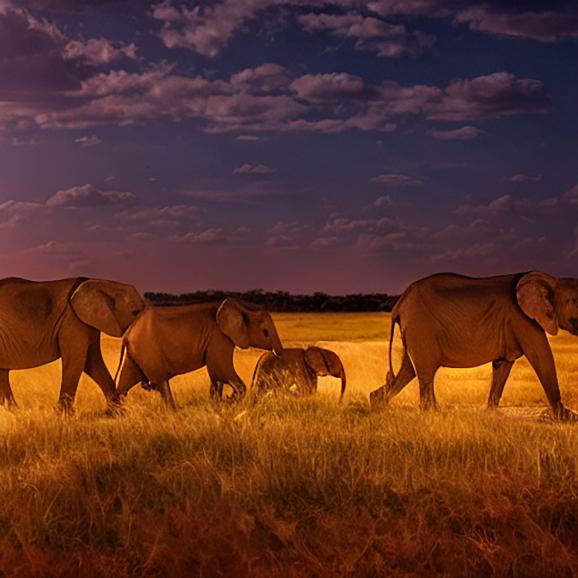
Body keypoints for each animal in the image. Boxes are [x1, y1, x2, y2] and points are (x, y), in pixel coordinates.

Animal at [0, 276, 144, 408]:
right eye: (135, 312)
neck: (105, 283)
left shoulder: (86, 323)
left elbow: (92, 362)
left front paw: (116, 412)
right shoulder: (72, 321)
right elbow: (76, 361)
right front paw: (63, 415)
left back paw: (15, 411)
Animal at [112, 296, 282, 404]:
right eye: (265, 332)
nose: (277, 353)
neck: (241, 306)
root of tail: (127, 333)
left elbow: (216, 375)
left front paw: (219, 402)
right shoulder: (219, 337)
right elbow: (221, 370)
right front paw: (230, 400)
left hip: (136, 353)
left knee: (124, 384)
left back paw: (114, 414)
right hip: (147, 351)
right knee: (161, 382)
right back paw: (173, 411)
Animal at [368, 270, 576, 418]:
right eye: (574, 301)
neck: (552, 280)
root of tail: (399, 304)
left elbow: (502, 365)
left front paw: (491, 413)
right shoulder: (523, 319)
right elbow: (541, 356)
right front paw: (566, 417)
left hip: (413, 331)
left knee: (408, 370)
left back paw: (377, 404)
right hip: (421, 328)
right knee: (425, 371)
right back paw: (433, 413)